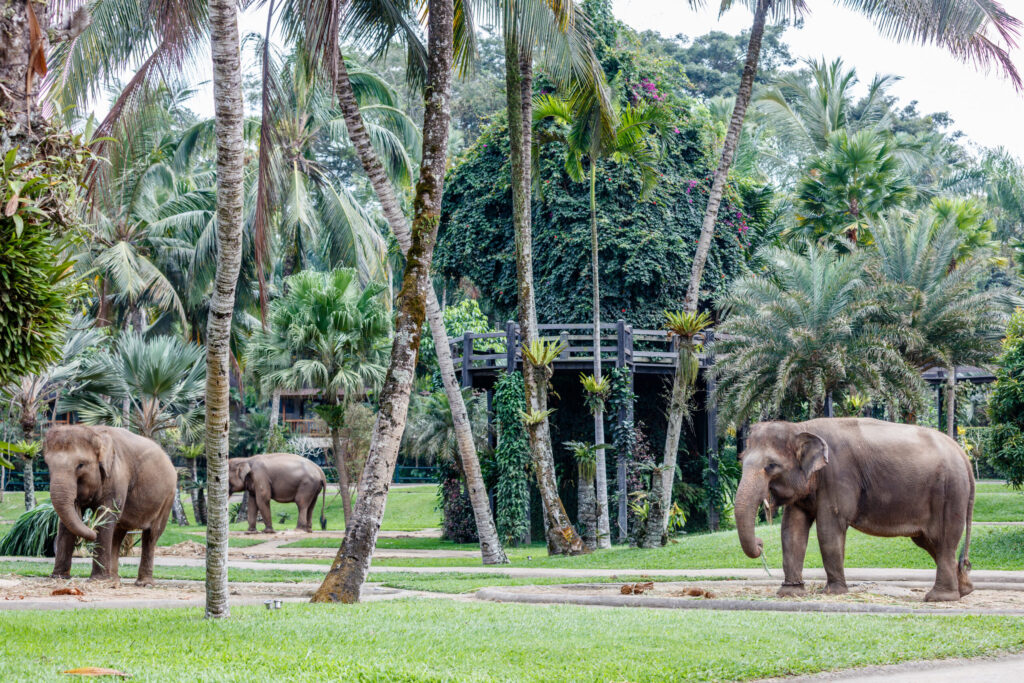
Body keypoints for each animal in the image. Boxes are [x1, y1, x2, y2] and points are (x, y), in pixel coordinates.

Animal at [43, 425, 177, 586]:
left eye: (80, 465)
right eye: (48, 465)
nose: (91, 531)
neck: (95, 432)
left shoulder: (117, 476)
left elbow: (106, 515)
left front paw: (97, 580)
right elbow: (66, 522)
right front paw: (59, 578)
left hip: (168, 497)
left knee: (151, 534)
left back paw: (144, 584)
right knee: (118, 533)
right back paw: (113, 580)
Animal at [735, 418, 975, 602]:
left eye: (771, 466)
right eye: (741, 460)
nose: (760, 543)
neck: (801, 427)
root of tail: (963, 454)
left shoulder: (838, 475)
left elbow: (829, 528)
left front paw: (833, 592)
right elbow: (792, 530)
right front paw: (790, 593)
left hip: (949, 494)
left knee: (943, 541)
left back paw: (939, 598)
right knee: (931, 543)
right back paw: (964, 590)